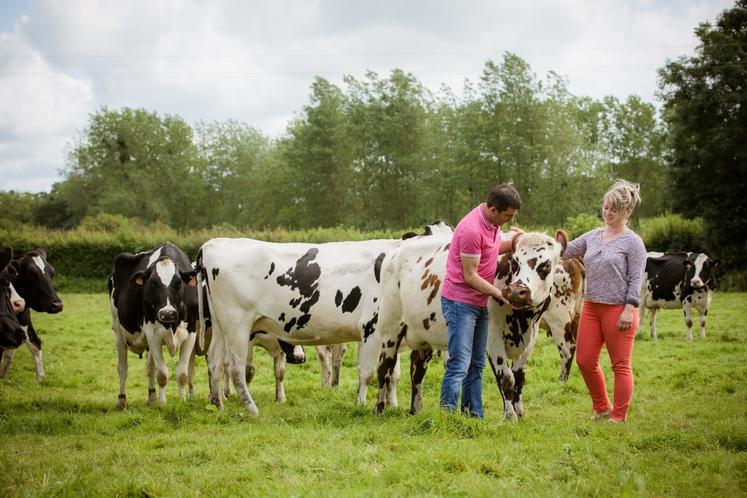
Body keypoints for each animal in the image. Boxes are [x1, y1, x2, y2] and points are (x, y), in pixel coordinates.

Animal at [0, 248, 63, 382]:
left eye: (52, 274)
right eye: (30, 275)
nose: (58, 305)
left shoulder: (23, 321)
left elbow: (34, 343)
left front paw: (41, 379)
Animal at [374, 231, 580, 418]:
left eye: (546, 265)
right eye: (515, 262)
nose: (516, 291)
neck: (522, 320)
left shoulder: (530, 340)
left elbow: (519, 378)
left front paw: (520, 412)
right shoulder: (492, 337)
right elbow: (506, 378)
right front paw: (510, 416)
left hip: (423, 335)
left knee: (417, 371)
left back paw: (416, 409)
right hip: (390, 329)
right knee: (385, 368)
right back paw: (379, 408)